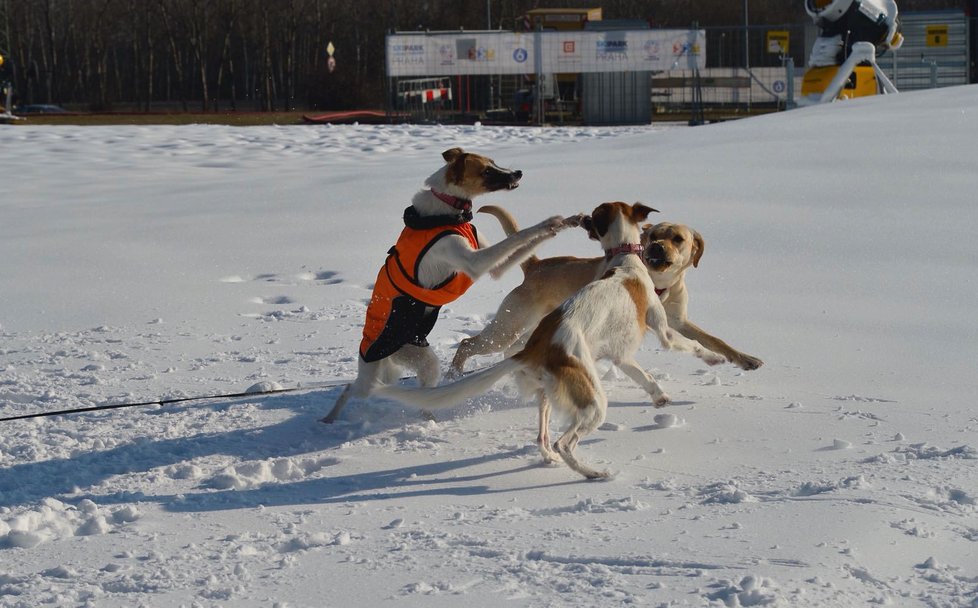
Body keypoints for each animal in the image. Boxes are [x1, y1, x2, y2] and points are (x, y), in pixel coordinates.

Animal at [320, 147, 580, 422]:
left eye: (494, 162)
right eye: (486, 171)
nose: (518, 172)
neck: (446, 209)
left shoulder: (494, 266)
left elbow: (524, 243)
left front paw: (563, 223)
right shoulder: (475, 262)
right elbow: (520, 235)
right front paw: (548, 221)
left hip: (414, 361)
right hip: (396, 368)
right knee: (351, 388)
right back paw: (329, 419)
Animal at [378, 203, 720, 480]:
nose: (582, 218)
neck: (623, 259)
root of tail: (535, 348)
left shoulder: (621, 355)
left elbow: (645, 377)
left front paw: (660, 397)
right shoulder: (662, 331)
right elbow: (690, 346)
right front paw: (715, 359)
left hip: (544, 391)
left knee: (542, 438)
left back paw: (551, 459)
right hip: (587, 396)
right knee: (563, 440)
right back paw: (592, 473)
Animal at [450, 207, 764, 378]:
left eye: (678, 239)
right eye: (652, 235)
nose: (657, 247)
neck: (658, 282)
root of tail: (536, 265)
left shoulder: (678, 320)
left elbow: (715, 340)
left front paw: (746, 359)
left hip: (526, 330)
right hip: (508, 327)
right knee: (467, 343)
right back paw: (456, 372)